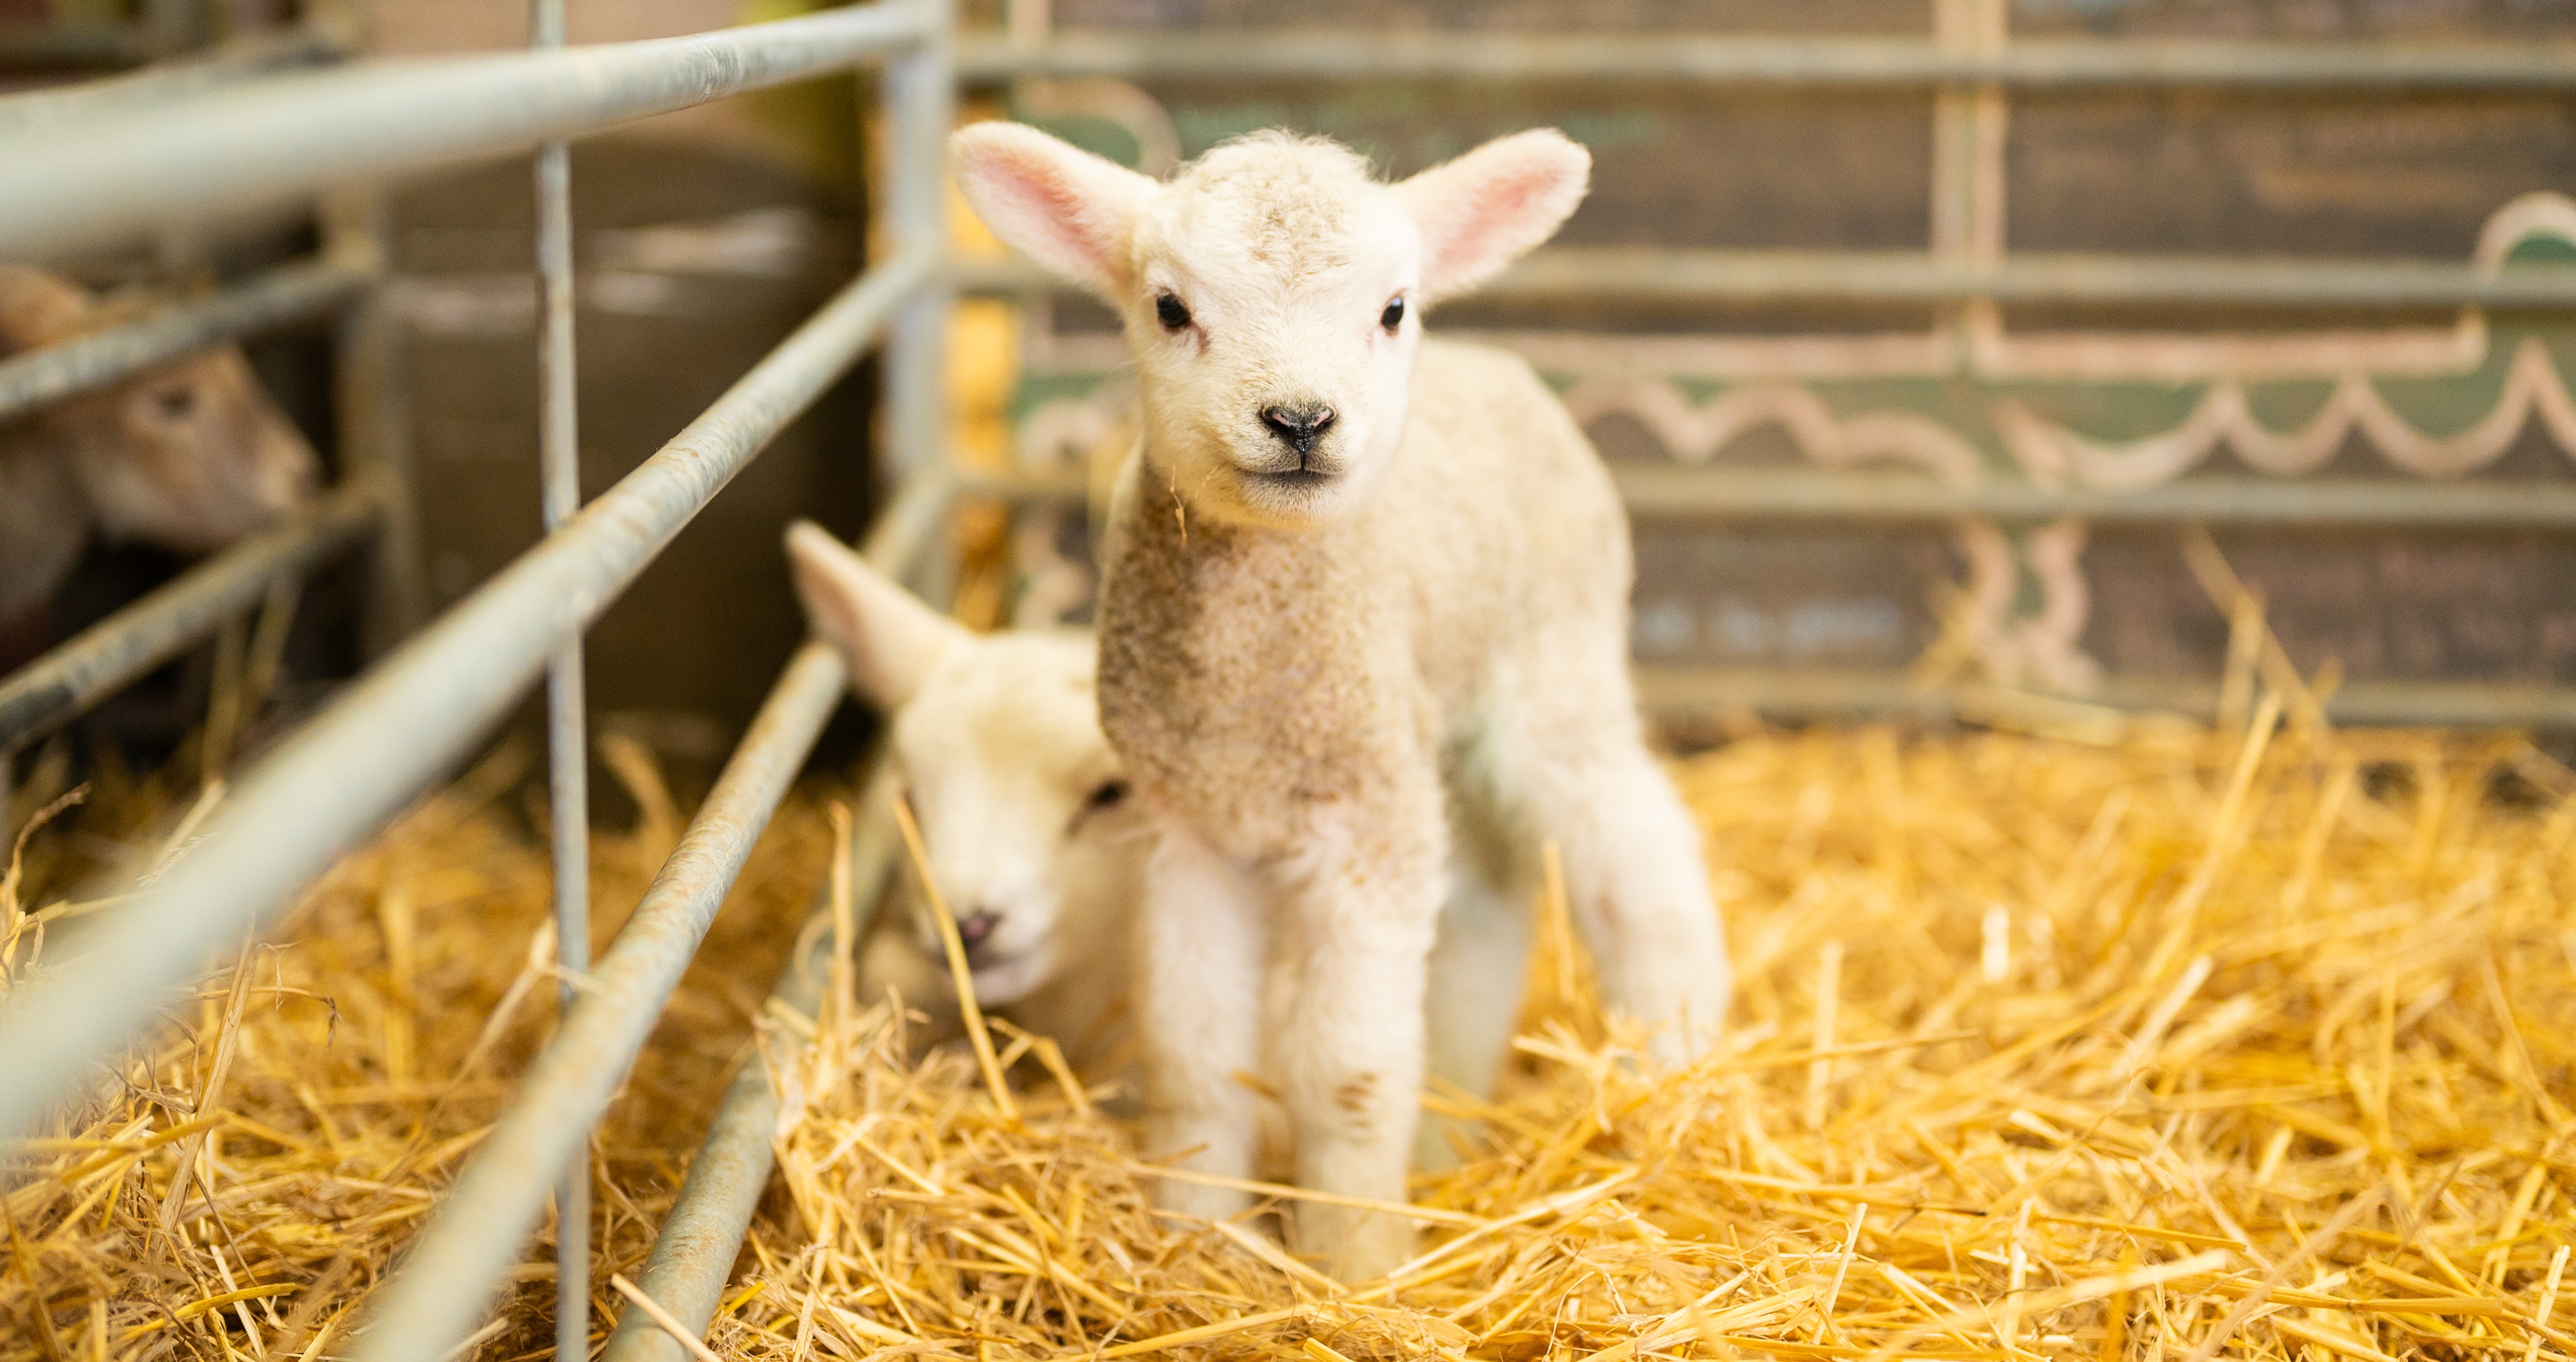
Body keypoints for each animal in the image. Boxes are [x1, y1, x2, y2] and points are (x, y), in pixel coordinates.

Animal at [948, 123, 1733, 1275]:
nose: (1300, 418)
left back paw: (1673, 1064)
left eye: (1393, 308)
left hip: (1553, 663)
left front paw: (1356, 1258)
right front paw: (1199, 1239)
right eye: (1170, 307)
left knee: (1639, 859)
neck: (1254, 689)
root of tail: (1496, 363)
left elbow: (1346, 1073)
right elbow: (1195, 1052)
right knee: (1487, 903)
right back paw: (1449, 1126)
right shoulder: (1191, 828)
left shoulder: (1364, 823)